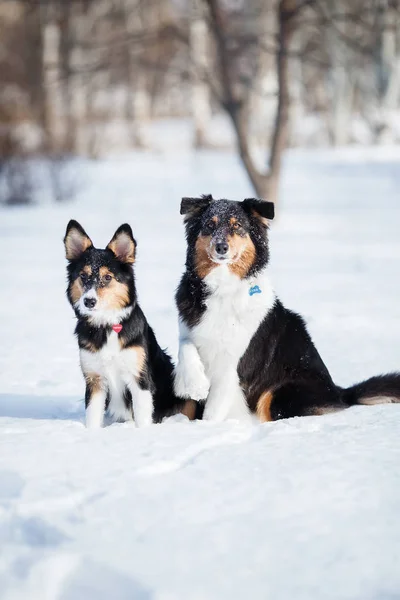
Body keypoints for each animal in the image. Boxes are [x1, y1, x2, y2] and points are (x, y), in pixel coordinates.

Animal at [64, 220, 195, 426]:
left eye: (107, 277)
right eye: (83, 276)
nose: (89, 301)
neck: (107, 326)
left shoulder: (139, 379)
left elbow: (142, 417)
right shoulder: (95, 380)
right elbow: (92, 418)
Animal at [174, 196, 400, 422]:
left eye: (237, 225)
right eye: (209, 225)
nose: (221, 247)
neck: (222, 287)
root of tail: (339, 392)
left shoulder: (233, 365)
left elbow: (213, 410)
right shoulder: (190, 330)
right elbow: (185, 347)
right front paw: (195, 384)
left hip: (277, 394)